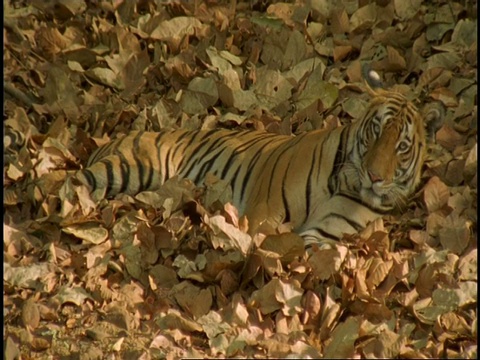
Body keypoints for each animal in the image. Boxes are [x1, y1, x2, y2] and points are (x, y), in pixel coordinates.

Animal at [74, 82, 442, 245]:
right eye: (375, 132)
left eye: (402, 146)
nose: (374, 176)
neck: (346, 180)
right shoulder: (264, 210)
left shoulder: (325, 230)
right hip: (133, 167)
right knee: (74, 180)